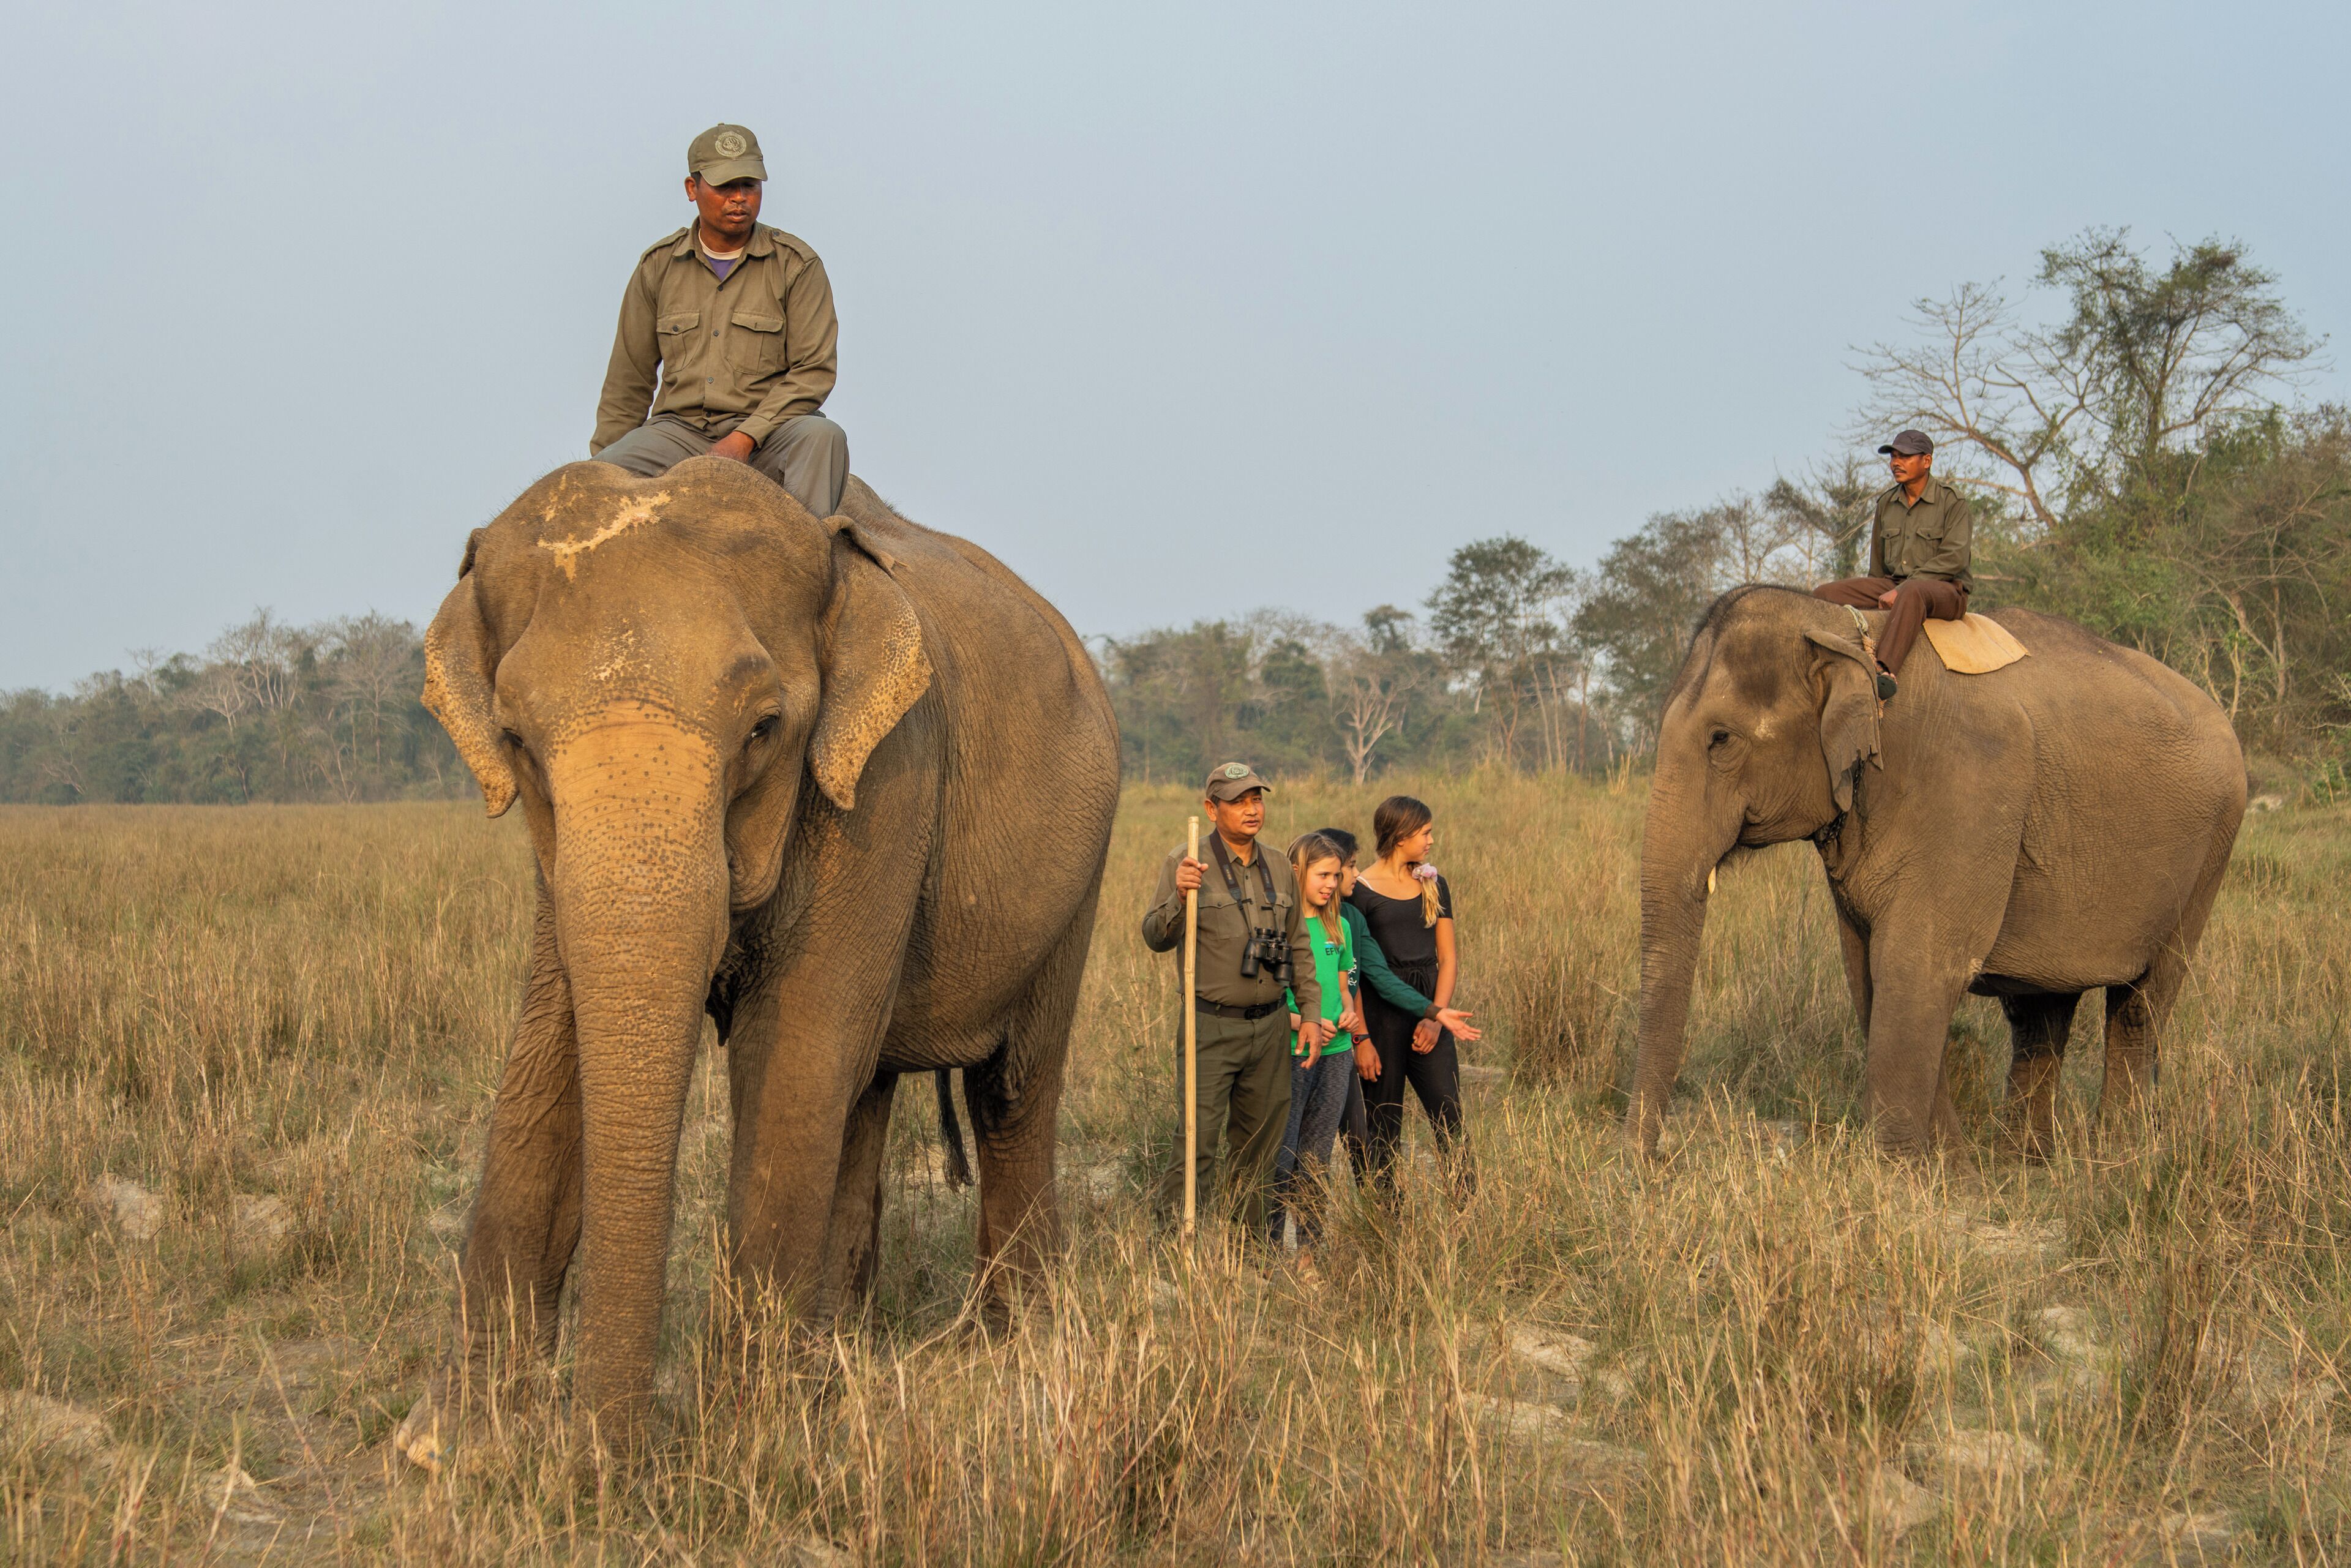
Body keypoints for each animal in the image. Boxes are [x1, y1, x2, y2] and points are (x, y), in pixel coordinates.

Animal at [412, 456, 1120, 1443]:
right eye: (516, 740)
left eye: (762, 729)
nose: (612, 1455)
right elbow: (549, 1047)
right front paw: (451, 1445)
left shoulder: (888, 778)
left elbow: (791, 1051)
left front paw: (745, 1437)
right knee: (866, 1091)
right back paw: (841, 1349)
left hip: (1080, 868)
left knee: (1009, 1087)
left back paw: (1016, 1341)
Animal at [1627, 586, 2244, 1157]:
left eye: (1721, 739)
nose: (1650, 1163)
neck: (1844, 635)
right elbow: (1868, 969)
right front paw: (1948, 1169)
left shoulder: (1969, 792)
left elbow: (1918, 963)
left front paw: (1901, 1172)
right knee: (2041, 1013)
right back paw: (2025, 1162)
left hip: (2213, 848)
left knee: (2141, 1005)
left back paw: (2116, 1156)